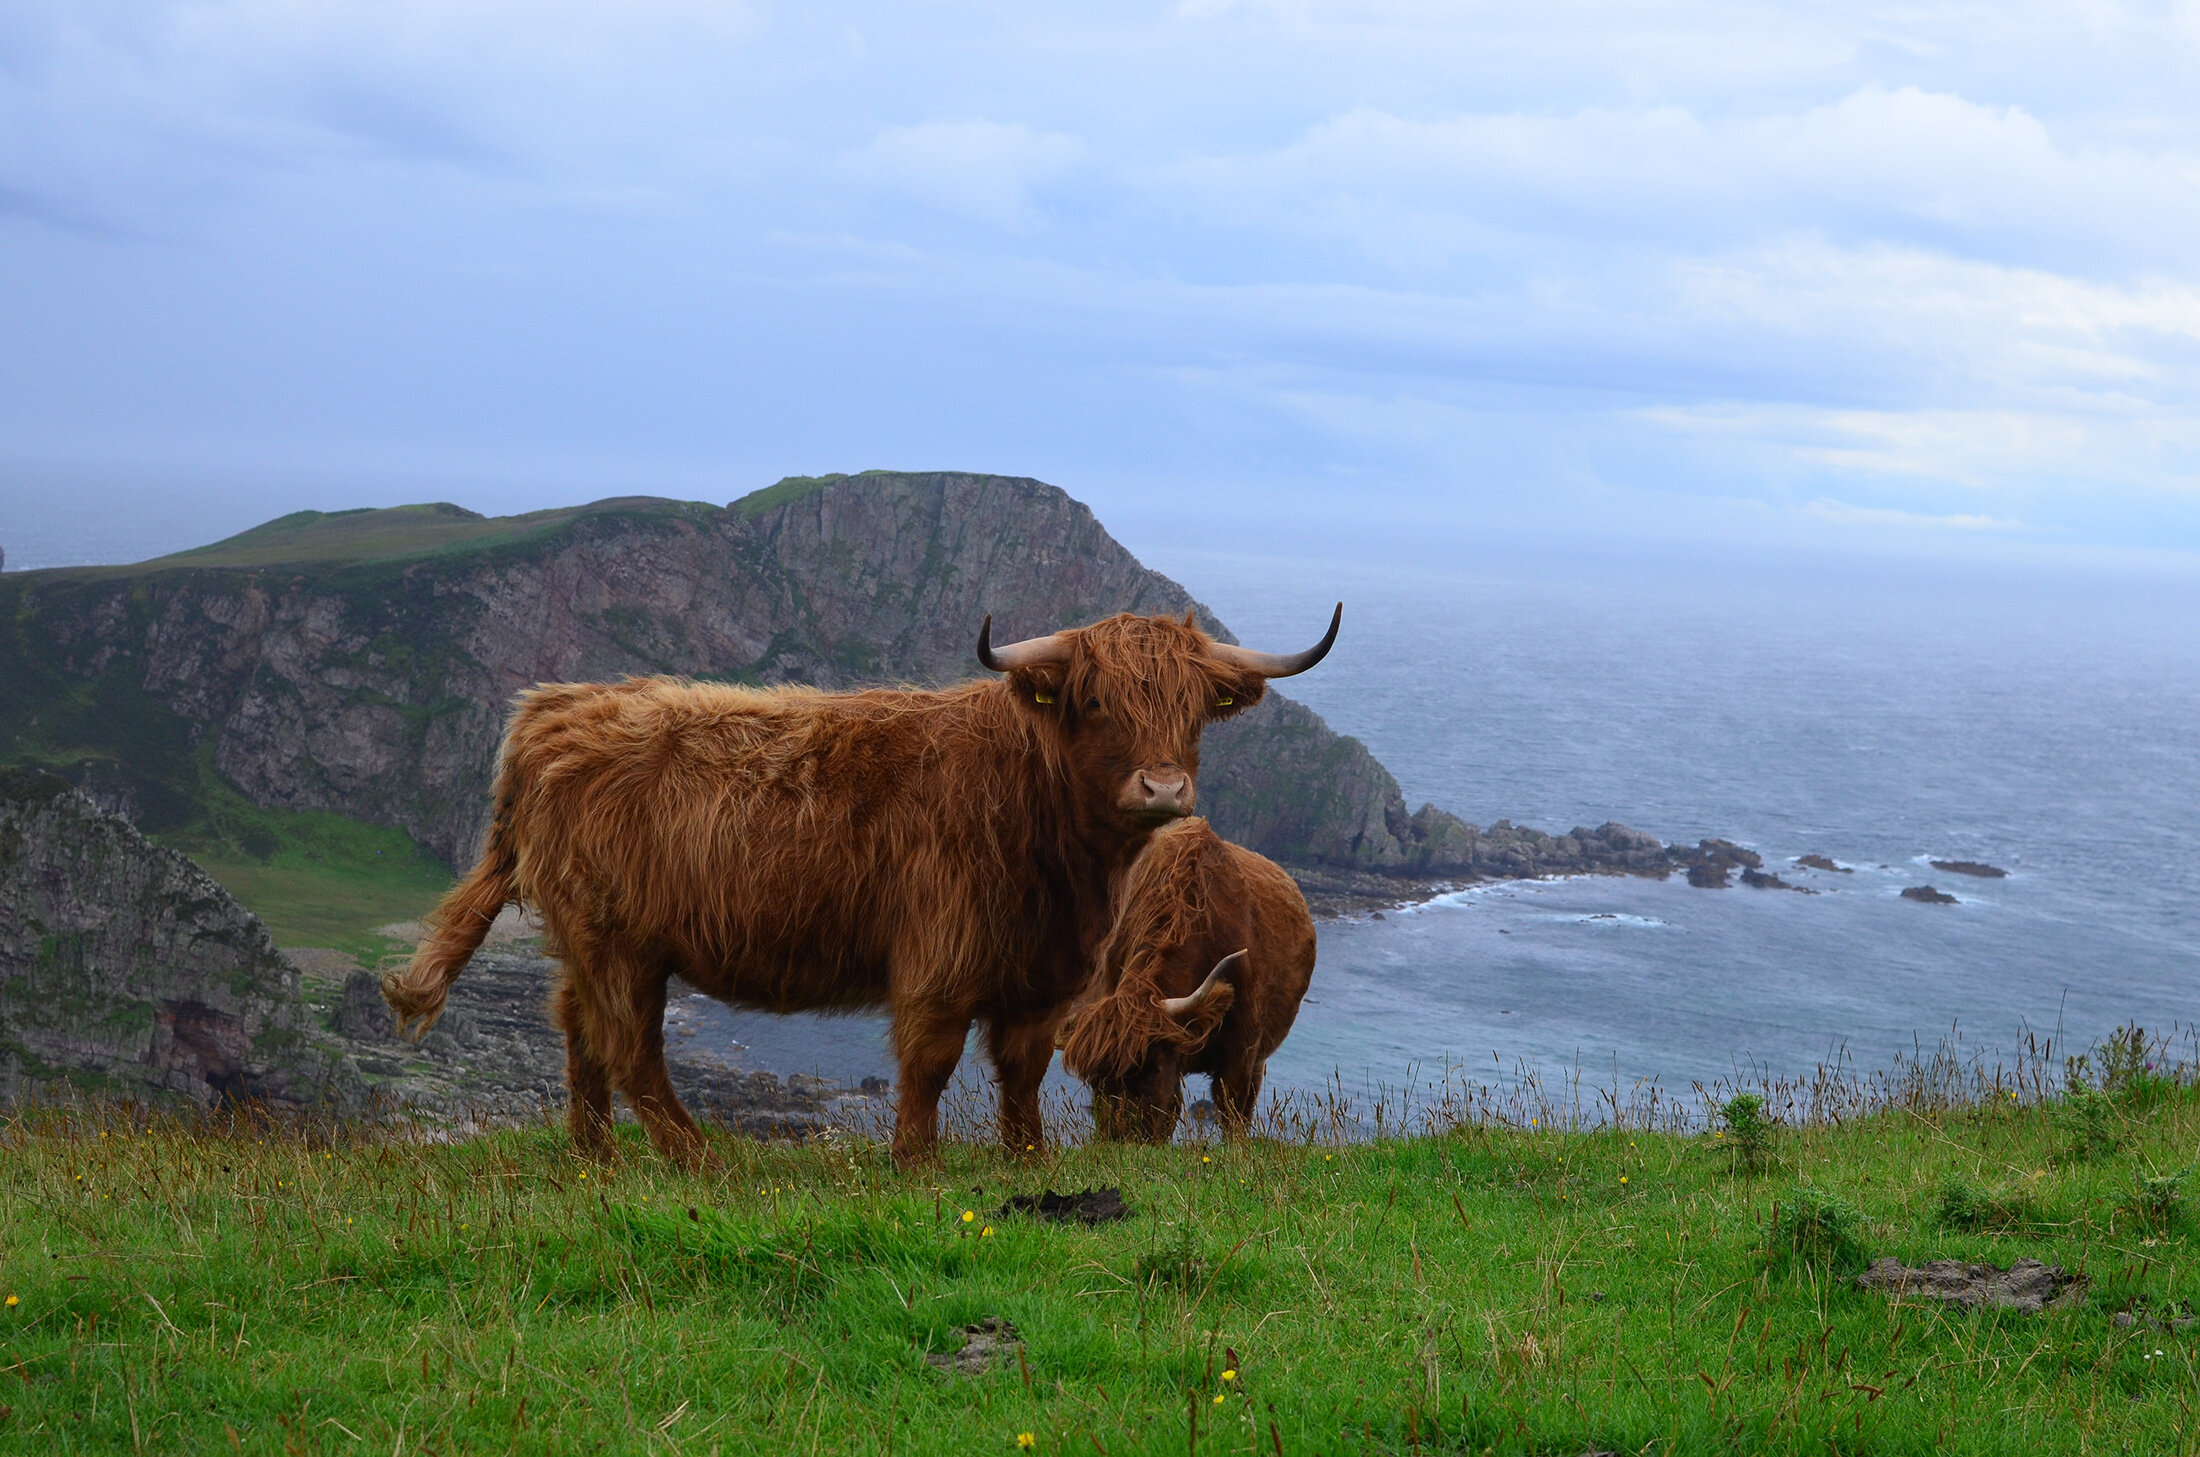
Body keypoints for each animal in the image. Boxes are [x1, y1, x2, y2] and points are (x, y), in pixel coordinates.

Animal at [1060, 823, 1311, 1144]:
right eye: (1095, 1082)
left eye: (1149, 1070)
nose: (1120, 1139)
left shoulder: (1242, 1050)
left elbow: (1232, 1107)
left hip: (1259, 1058)